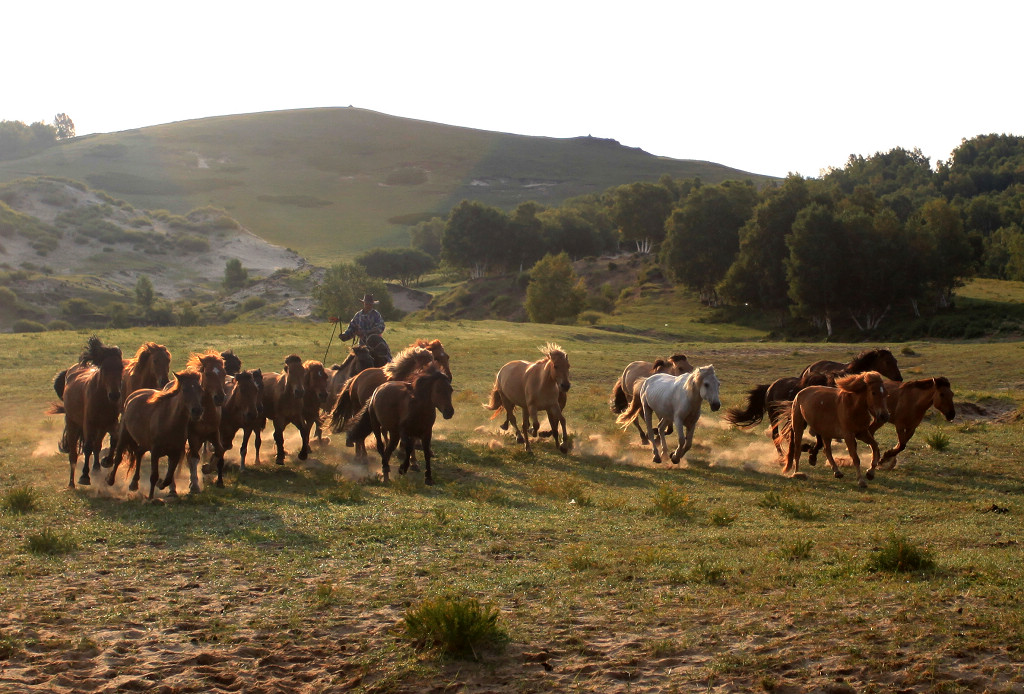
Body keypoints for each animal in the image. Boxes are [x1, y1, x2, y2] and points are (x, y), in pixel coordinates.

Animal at [47, 337, 124, 489]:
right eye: (104, 369)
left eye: (121, 368)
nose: (114, 395)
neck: (102, 399)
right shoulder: (89, 424)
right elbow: (88, 447)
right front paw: (84, 476)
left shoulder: (109, 423)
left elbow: (114, 439)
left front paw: (107, 461)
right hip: (73, 424)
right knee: (73, 454)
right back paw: (71, 483)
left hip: (99, 428)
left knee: (97, 446)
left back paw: (96, 468)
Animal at [105, 370, 205, 499]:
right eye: (184, 389)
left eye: (200, 390)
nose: (197, 411)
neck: (169, 421)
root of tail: (132, 396)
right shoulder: (155, 451)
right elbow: (154, 476)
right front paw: (151, 497)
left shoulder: (175, 453)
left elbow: (168, 478)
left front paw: (161, 484)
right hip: (124, 435)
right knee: (118, 458)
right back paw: (110, 480)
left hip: (144, 442)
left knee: (139, 454)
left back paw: (134, 484)